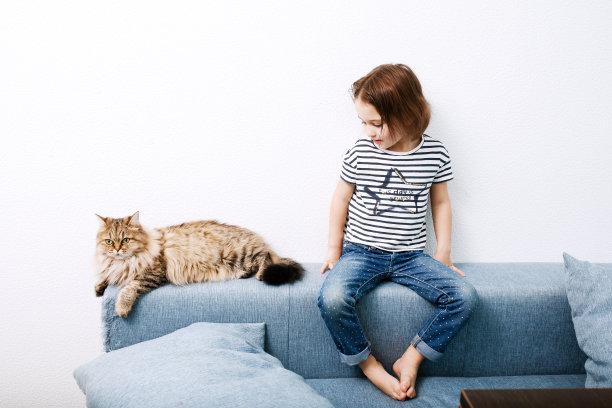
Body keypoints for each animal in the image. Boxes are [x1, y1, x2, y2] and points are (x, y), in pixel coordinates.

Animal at [94, 212, 304, 317]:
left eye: (126, 240)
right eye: (109, 242)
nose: (117, 250)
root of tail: (258, 239)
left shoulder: (153, 273)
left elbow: (129, 288)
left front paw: (121, 309)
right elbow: (105, 277)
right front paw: (99, 287)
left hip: (243, 254)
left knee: (265, 258)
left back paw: (260, 274)